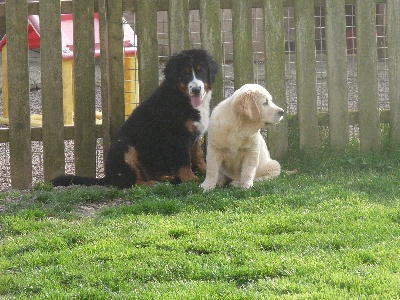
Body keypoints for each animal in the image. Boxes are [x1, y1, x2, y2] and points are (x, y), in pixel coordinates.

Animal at [51, 49, 219, 190]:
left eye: (201, 70)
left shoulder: (195, 134)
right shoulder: (177, 137)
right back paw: (153, 184)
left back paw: (167, 178)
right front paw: (191, 179)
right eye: (185, 73)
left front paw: (206, 170)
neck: (181, 97)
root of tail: (108, 176)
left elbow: (198, 156)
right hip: (124, 148)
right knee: (131, 182)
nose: (196, 89)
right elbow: (184, 162)